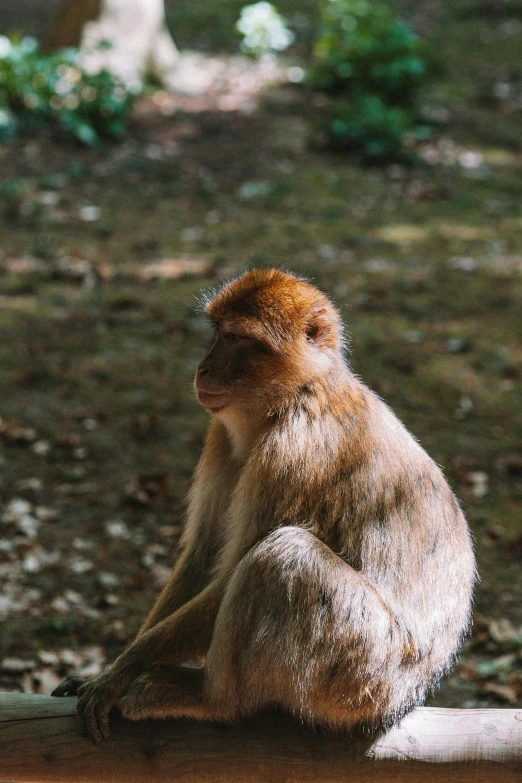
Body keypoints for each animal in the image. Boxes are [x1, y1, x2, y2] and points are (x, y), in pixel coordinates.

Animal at [51, 268, 472, 740]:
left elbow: (232, 571)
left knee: (284, 556)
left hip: (364, 674)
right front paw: (108, 670)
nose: (203, 368)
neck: (291, 398)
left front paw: (119, 673)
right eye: (217, 331)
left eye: (235, 337)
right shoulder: (220, 436)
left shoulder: (292, 453)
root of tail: (408, 697)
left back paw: (211, 700)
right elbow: (204, 555)